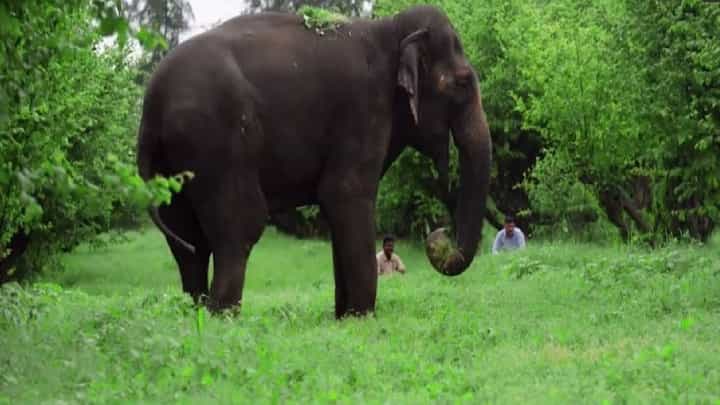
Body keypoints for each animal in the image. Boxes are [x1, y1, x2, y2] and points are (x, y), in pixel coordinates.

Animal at [136, 5, 492, 318]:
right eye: (462, 83)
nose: (439, 234)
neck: (390, 28)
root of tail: (152, 103)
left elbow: (336, 208)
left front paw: (344, 317)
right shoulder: (362, 109)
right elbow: (344, 195)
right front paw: (362, 317)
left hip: (173, 162)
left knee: (189, 241)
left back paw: (195, 313)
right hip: (216, 142)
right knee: (239, 227)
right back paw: (221, 317)